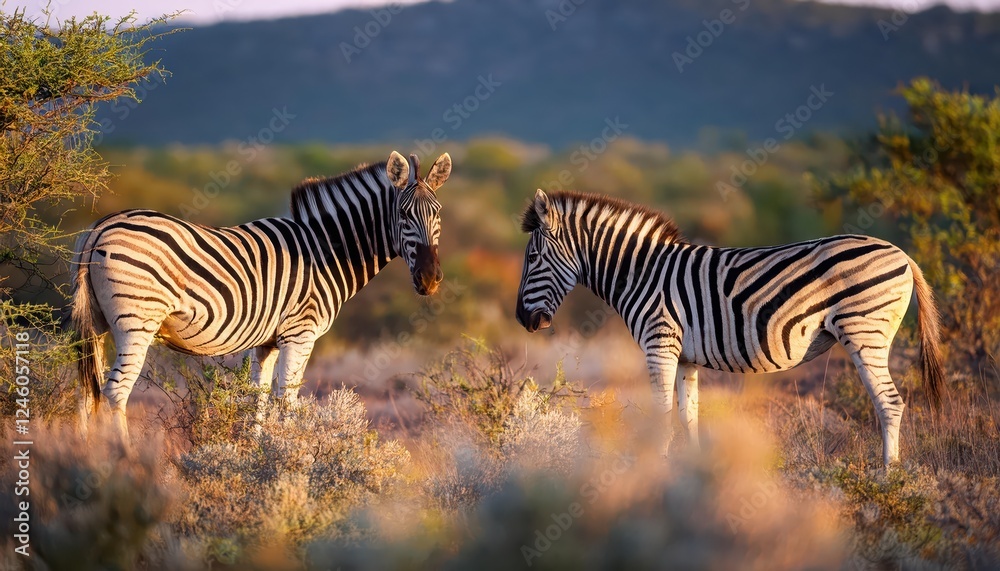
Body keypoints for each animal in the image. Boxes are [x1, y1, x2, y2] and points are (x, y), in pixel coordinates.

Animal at [72, 151, 452, 443]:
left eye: (438, 214)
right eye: (403, 215)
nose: (430, 280)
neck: (326, 250)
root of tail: (100, 226)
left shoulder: (267, 342)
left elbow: (259, 400)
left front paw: (257, 455)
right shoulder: (300, 333)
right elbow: (288, 400)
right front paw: (290, 461)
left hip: (97, 325)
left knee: (86, 390)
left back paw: (84, 456)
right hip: (137, 321)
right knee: (116, 391)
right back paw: (125, 460)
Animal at [515, 189, 944, 466]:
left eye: (533, 258)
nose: (522, 320)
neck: (641, 273)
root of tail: (902, 253)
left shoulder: (660, 343)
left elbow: (661, 418)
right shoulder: (685, 356)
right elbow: (688, 418)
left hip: (864, 332)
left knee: (890, 403)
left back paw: (888, 478)